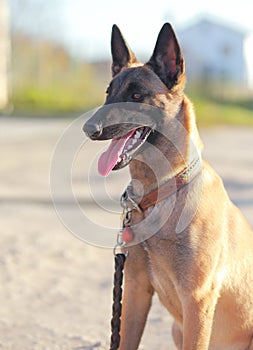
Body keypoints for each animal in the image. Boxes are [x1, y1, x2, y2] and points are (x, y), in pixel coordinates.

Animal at [83, 23, 253, 348]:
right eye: (109, 93)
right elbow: (124, 340)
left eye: (137, 94)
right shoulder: (135, 291)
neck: (161, 191)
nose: (89, 129)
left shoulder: (197, 301)